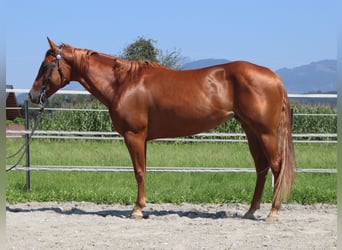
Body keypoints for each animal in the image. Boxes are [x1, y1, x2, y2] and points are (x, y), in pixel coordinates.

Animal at [30, 37, 294, 221]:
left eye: (45, 66)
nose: (33, 96)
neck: (123, 83)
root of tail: (275, 78)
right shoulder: (142, 138)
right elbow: (144, 170)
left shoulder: (134, 136)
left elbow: (138, 171)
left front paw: (137, 210)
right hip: (251, 131)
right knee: (261, 168)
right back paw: (251, 211)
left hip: (265, 133)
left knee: (276, 166)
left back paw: (272, 212)